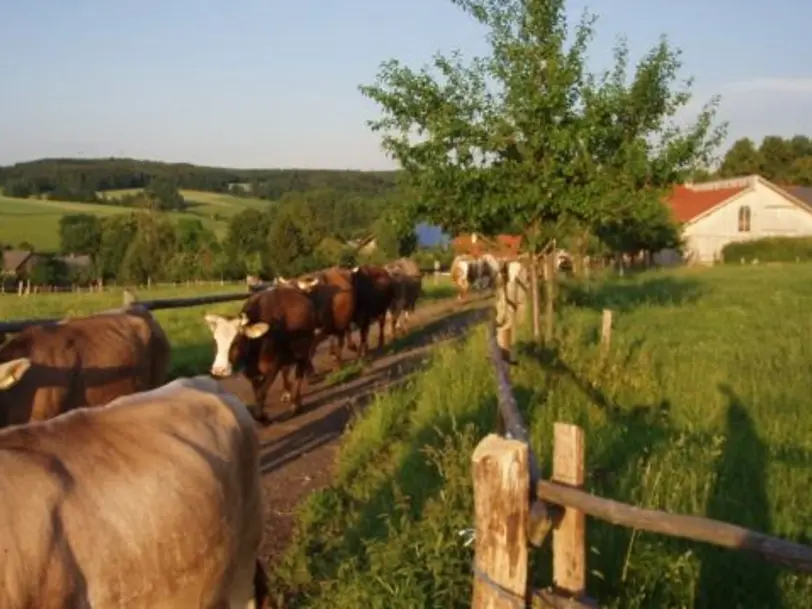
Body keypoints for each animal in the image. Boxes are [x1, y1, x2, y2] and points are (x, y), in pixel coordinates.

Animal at [202, 286, 318, 420]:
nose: (219, 370)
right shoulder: (250, 372)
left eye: (236, 341)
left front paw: (262, 417)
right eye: (215, 341)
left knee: (299, 375)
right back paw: (286, 393)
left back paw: (296, 405)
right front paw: (261, 414)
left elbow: (262, 392)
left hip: (303, 352)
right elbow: (257, 392)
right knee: (285, 370)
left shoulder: (272, 367)